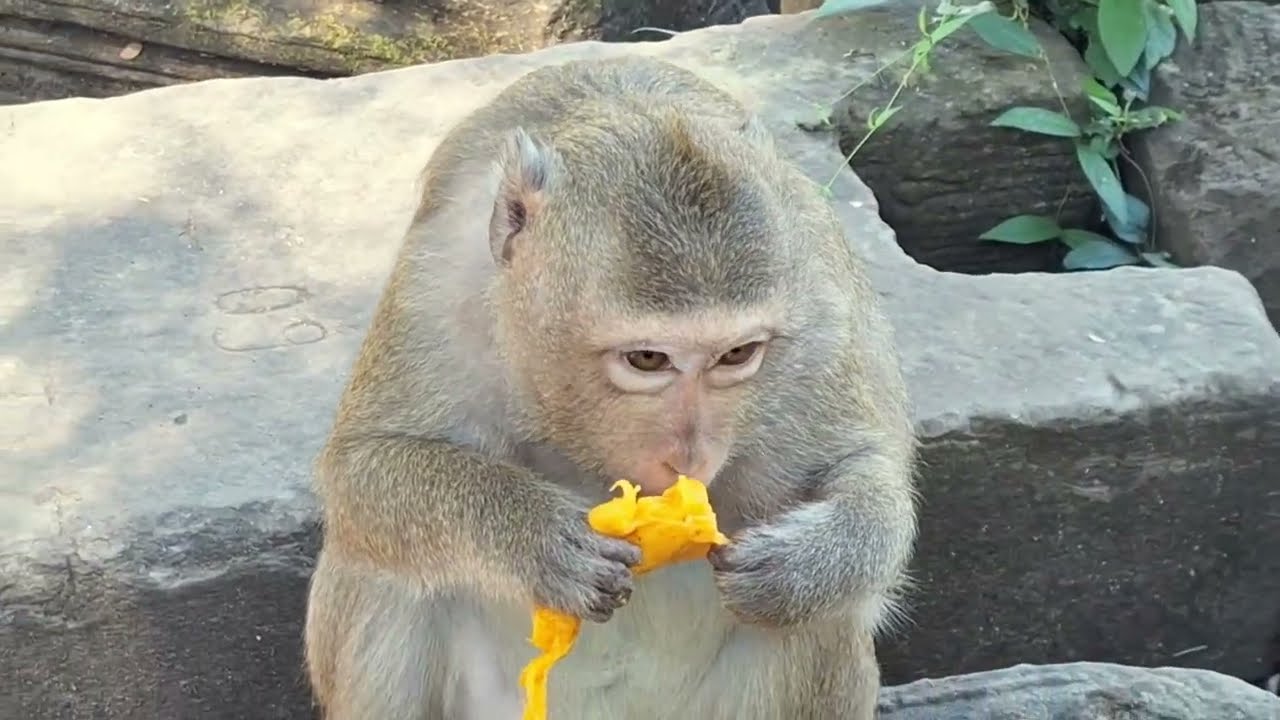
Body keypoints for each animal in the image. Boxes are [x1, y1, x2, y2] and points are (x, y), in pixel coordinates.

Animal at [302, 54, 919, 720]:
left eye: (737, 354)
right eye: (647, 359)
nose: (690, 457)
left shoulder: (820, 312)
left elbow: (866, 470)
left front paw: (808, 563)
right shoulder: (435, 290)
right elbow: (362, 470)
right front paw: (540, 539)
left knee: (824, 618)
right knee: (381, 575)